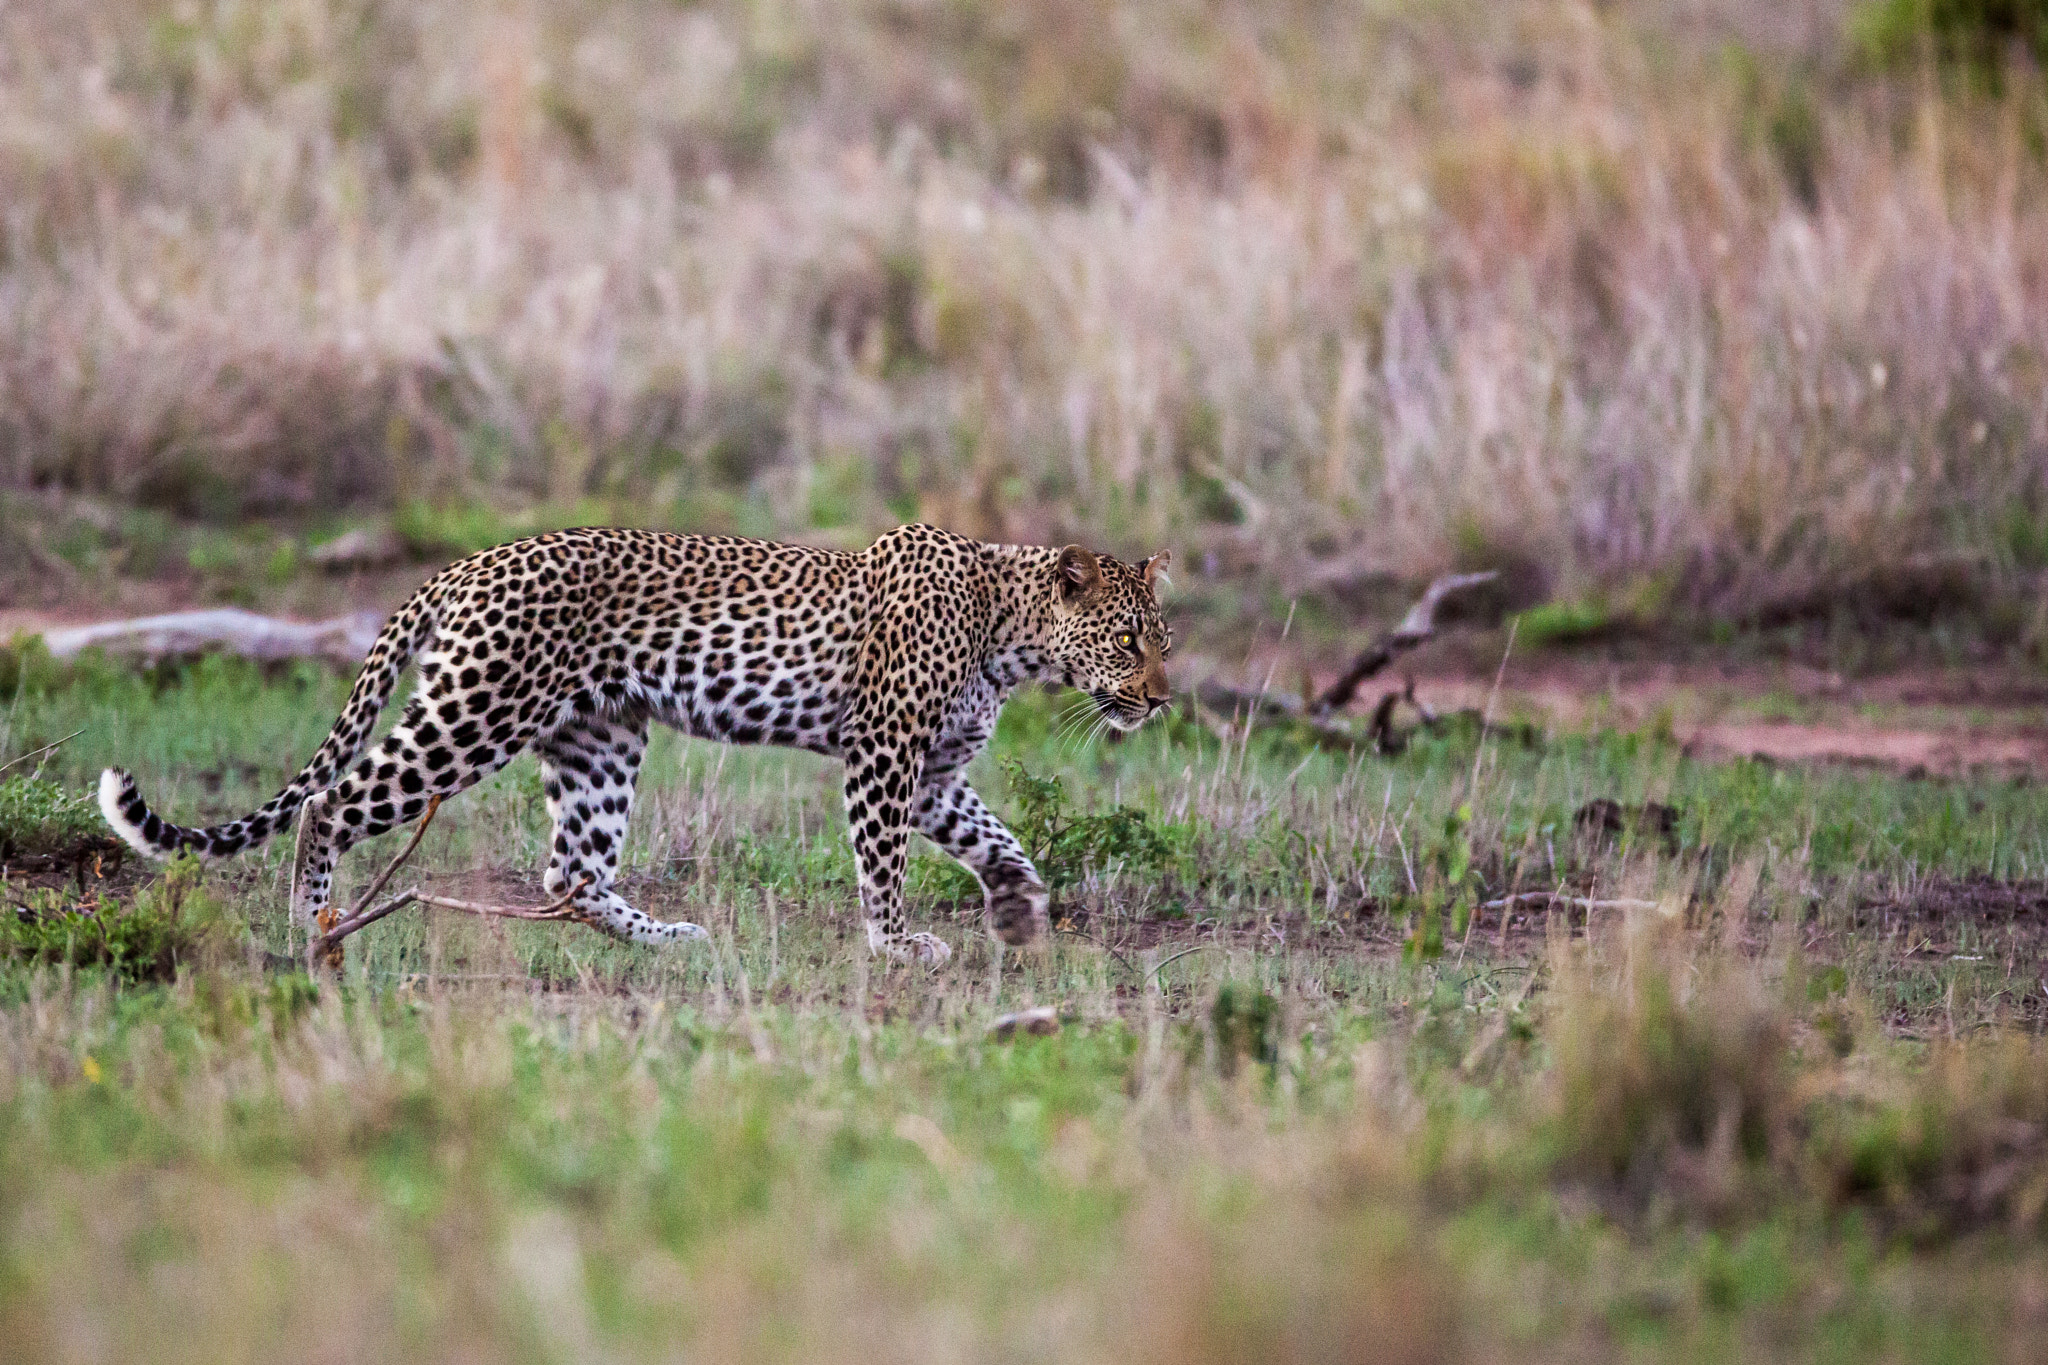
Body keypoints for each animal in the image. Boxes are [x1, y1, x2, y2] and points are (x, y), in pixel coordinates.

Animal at [96, 523, 1179, 961]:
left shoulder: (936, 770)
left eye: (1165, 643)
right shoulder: (884, 752)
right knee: (332, 800)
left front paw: (1020, 912)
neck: (1010, 632)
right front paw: (894, 941)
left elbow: (999, 840)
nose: (1163, 702)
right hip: (474, 714)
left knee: (568, 871)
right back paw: (311, 924)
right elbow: (882, 859)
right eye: (1130, 640)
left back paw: (667, 938)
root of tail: (465, 564)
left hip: (599, 739)